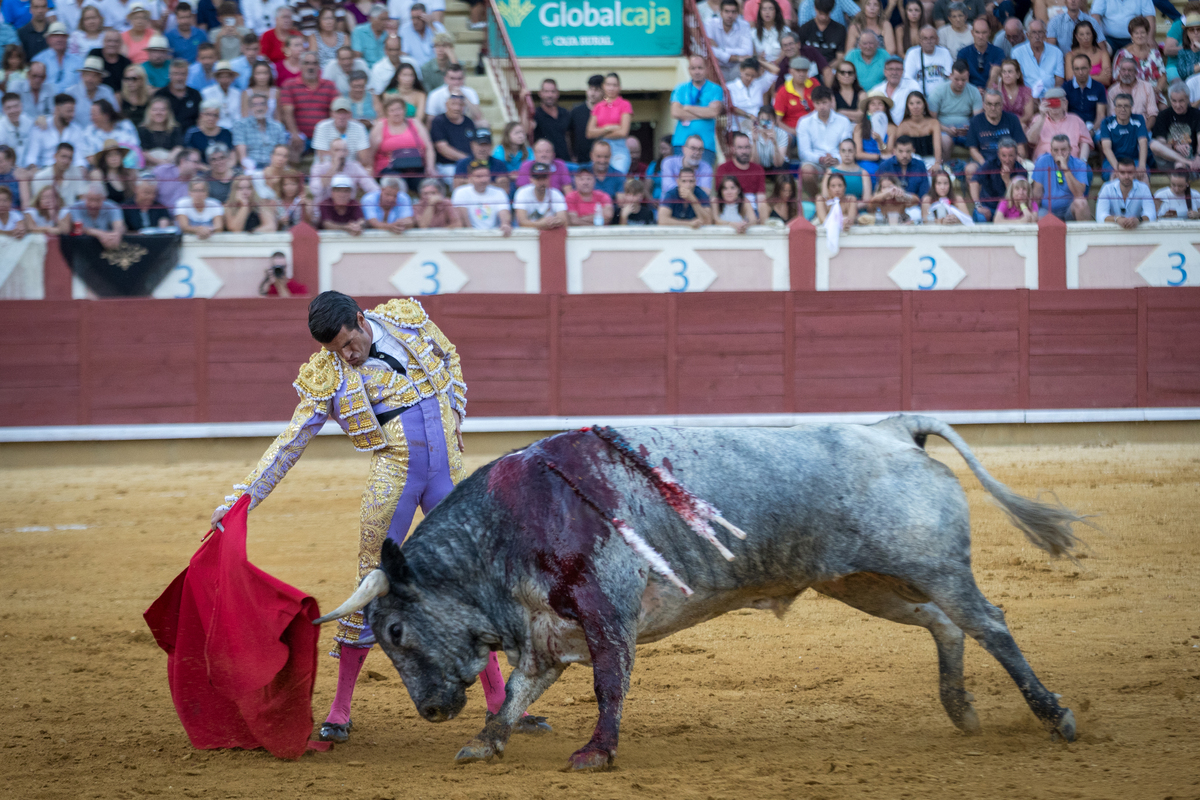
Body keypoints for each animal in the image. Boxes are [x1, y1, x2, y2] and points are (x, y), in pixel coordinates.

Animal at [314, 412, 1094, 767]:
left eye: (395, 631)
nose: (430, 711)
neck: (512, 522)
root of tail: (895, 428)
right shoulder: (545, 632)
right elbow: (522, 692)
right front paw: (484, 744)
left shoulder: (607, 613)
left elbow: (609, 683)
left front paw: (596, 753)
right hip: (863, 582)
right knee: (945, 623)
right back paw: (960, 707)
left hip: (932, 565)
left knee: (988, 621)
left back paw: (1054, 715)